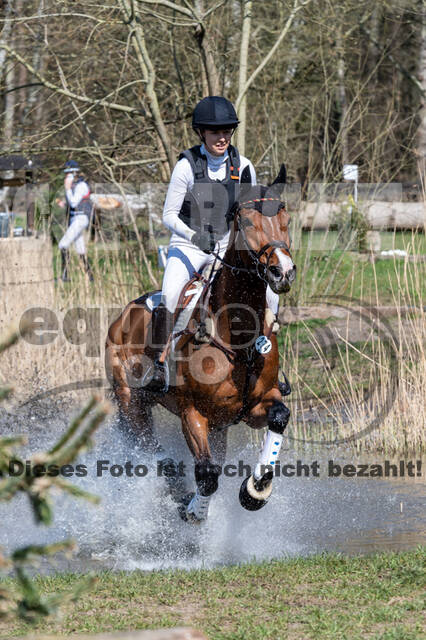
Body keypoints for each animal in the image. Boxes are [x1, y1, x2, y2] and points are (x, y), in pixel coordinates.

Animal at [105, 168, 296, 524]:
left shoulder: (256, 404)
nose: (283, 272)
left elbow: (279, 416)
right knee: (150, 449)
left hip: (218, 425)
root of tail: (124, 314)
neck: (239, 336)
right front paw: (194, 509)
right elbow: (207, 475)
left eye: (285, 218)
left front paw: (255, 490)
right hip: (130, 400)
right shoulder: (192, 413)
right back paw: (174, 483)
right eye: (246, 222)